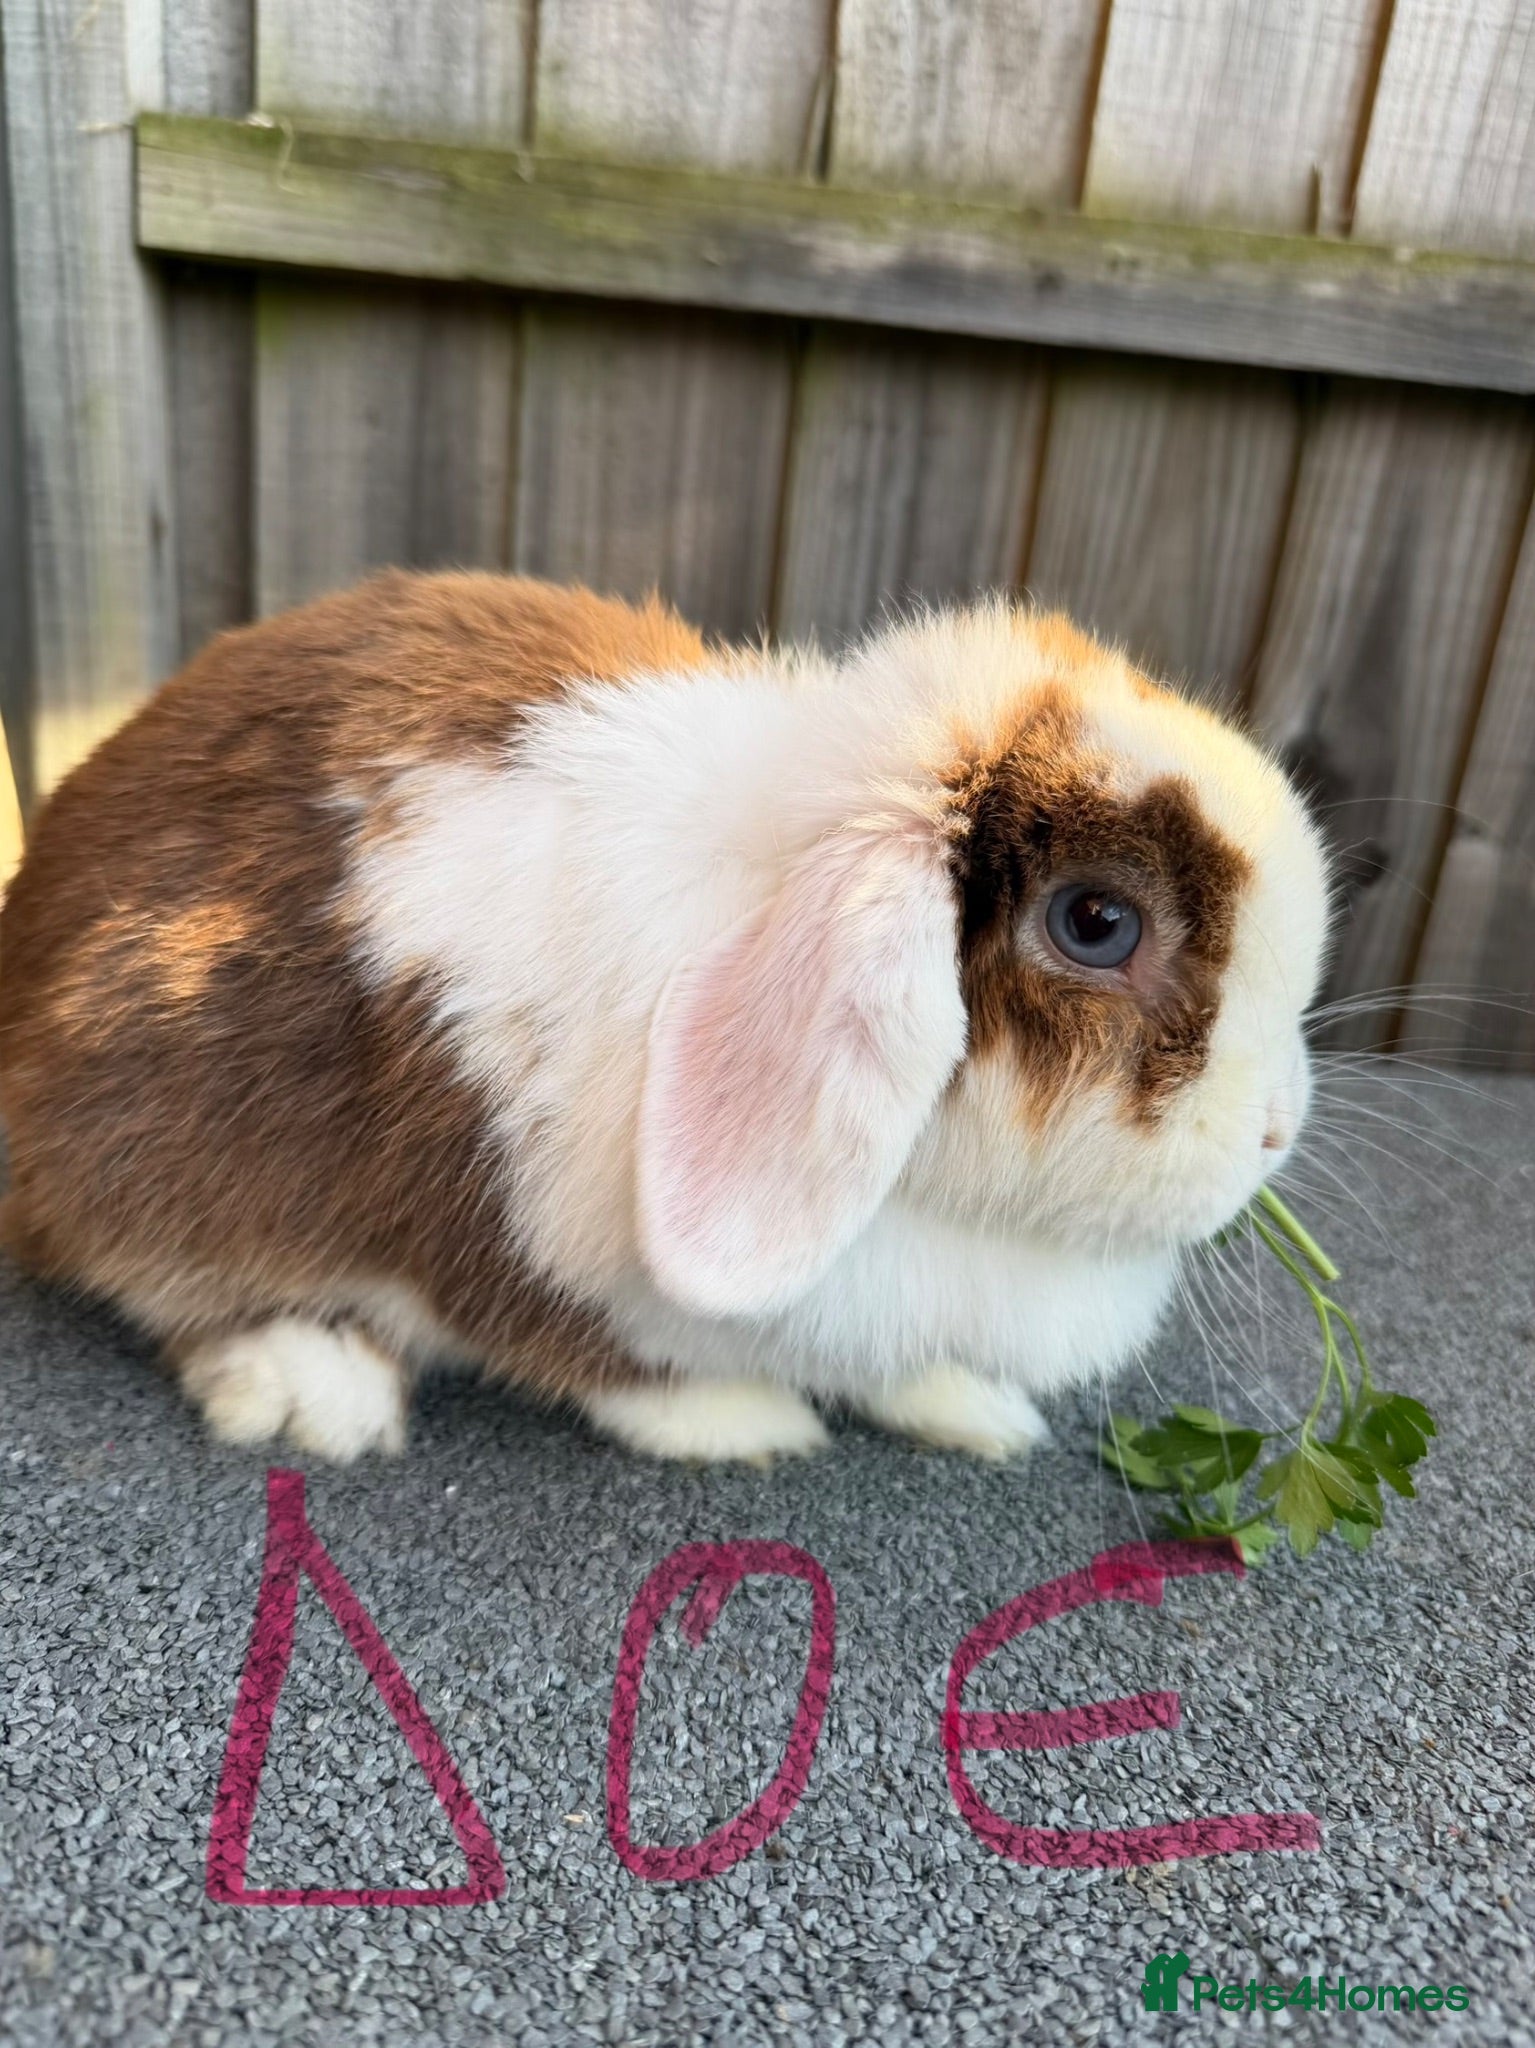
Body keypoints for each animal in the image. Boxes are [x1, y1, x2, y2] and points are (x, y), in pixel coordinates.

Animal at [0, 571, 1330, 1466]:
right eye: (1096, 921)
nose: (1275, 1131)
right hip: (163, 1147)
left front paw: (977, 1412)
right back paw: (314, 1387)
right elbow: (608, 1363)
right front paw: (748, 1424)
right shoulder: (520, 1239)